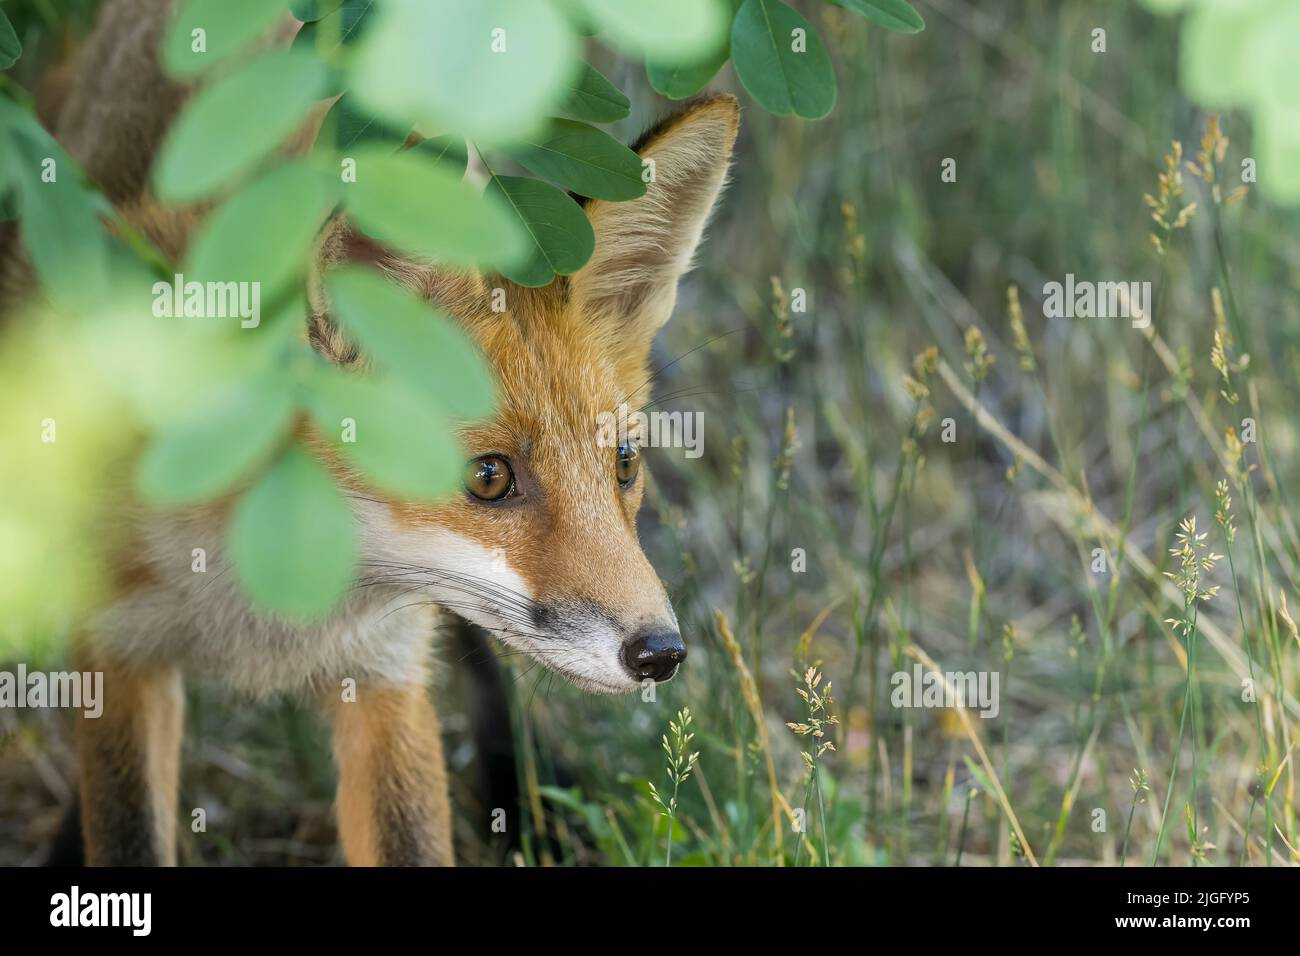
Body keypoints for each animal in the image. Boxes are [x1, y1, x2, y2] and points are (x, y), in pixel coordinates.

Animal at [27, 0, 743, 868]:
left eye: (625, 466)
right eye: (489, 476)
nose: (661, 653)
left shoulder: (383, 669)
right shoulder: (122, 649)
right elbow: (129, 826)